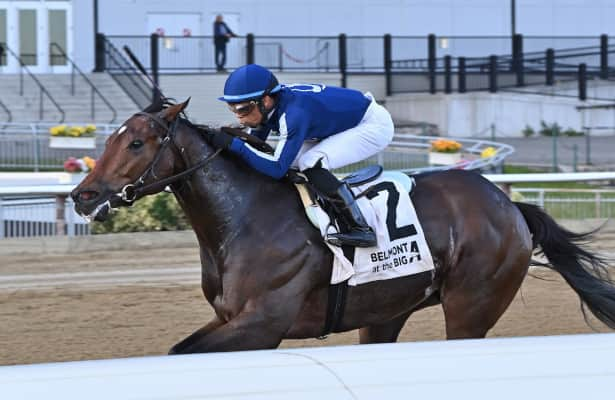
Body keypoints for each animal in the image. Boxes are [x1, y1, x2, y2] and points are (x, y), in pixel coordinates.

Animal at [72, 99, 615, 354]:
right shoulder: (231, 319)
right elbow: (176, 349)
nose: (83, 196)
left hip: (470, 309)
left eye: (137, 143)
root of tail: (509, 206)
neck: (243, 218)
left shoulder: (262, 325)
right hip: (386, 310)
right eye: (112, 138)